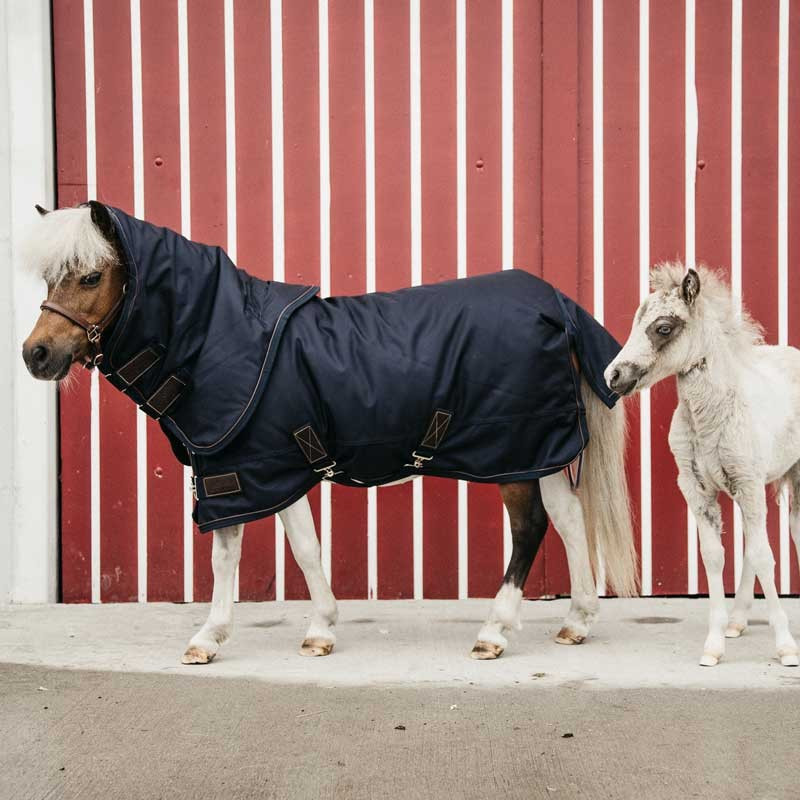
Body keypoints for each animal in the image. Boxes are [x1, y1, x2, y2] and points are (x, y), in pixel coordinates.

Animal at [22, 201, 637, 664]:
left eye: (91, 276)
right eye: (51, 277)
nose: (36, 355)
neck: (221, 337)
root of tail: (554, 303)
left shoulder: (245, 471)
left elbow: (243, 554)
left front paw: (215, 637)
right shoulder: (263, 469)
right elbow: (292, 548)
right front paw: (312, 629)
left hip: (514, 452)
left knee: (531, 529)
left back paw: (494, 631)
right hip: (540, 451)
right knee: (570, 519)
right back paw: (577, 621)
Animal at [606, 263, 800, 667]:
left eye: (663, 327)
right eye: (636, 322)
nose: (612, 376)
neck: (712, 418)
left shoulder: (748, 482)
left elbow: (765, 557)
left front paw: (786, 646)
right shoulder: (698, 489)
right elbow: (716, 556)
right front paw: (714, 644)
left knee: (790, 531)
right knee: (754, 542)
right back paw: (738, 621)